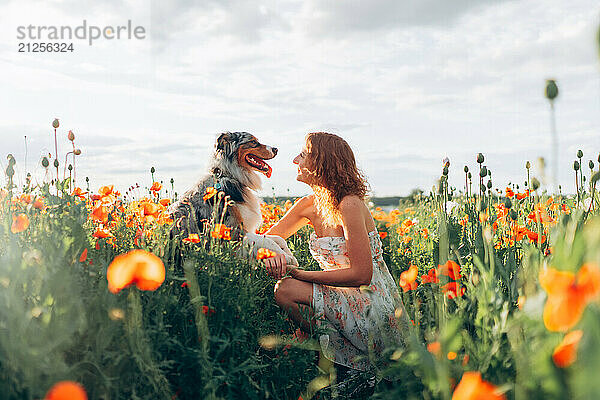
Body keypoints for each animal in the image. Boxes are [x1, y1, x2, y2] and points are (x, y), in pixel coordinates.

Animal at [169, 131, 300, 268]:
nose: (276, 149)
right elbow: (267, 241)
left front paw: (289, 254)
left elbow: (276, 238)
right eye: (253, 142)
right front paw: (287, 257)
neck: (230, 175)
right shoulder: (234, 231)